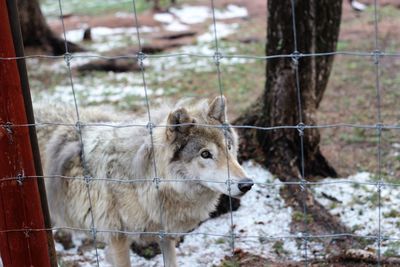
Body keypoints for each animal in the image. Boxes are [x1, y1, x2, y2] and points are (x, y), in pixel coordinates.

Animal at [34, 97, 253, 267]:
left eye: (229, 147)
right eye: (205, 154)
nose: (247, 184)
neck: (142, 180)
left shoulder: (165, 235)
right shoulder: (117, 239)